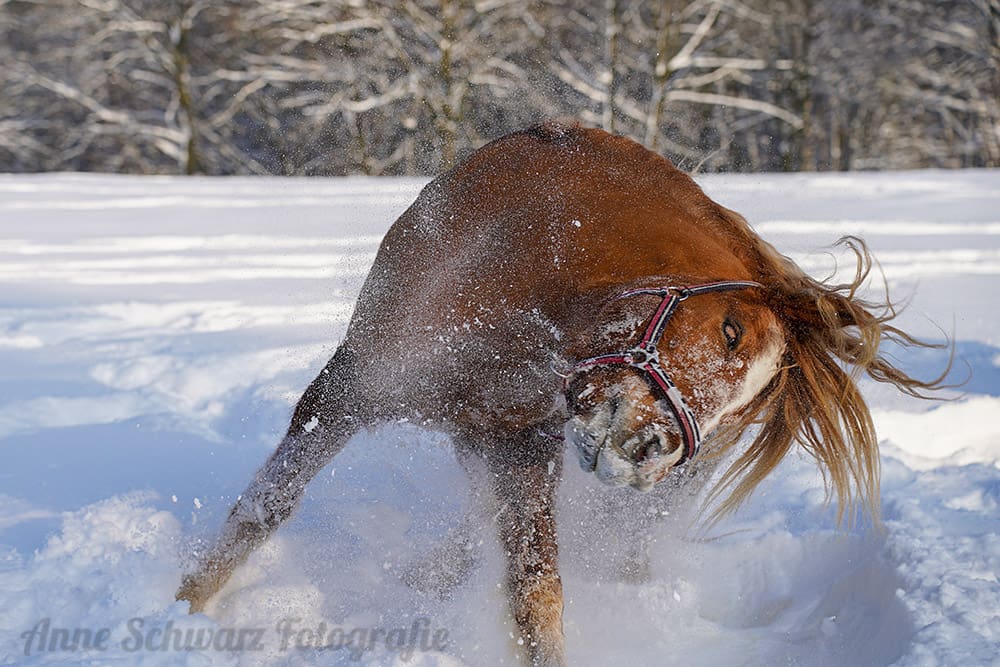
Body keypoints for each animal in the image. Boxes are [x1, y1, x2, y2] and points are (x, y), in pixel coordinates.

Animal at [176, 121, 940, 666]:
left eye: (742, 413)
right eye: (729, 332)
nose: (654, 450)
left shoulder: (522, 450)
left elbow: (535, 590)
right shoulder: (353, 387)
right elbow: (264, 508)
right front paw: (184, 605)